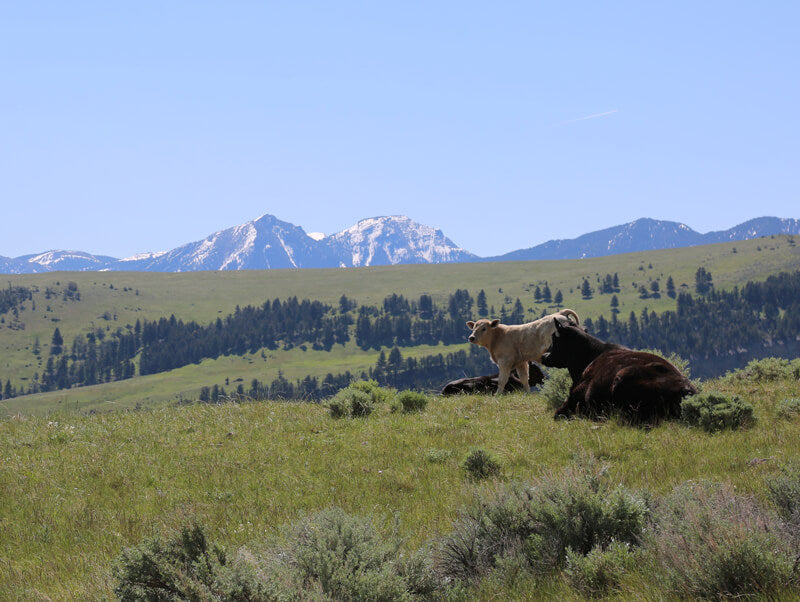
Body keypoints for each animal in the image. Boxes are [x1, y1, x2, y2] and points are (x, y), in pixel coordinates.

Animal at [541, 319, 696, 423]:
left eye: (555, 339)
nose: (544, 356)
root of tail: (687, 389)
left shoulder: (574, 398)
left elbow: (558, 414)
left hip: (623, 377)